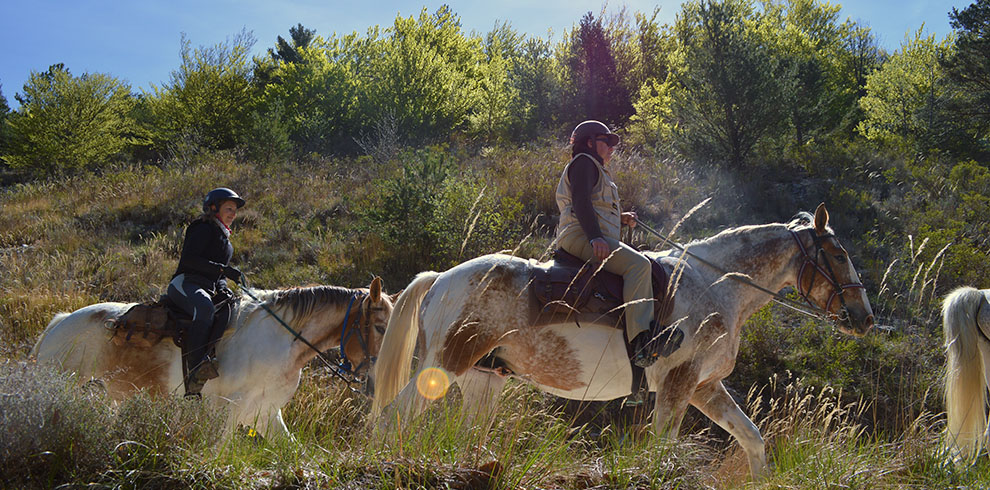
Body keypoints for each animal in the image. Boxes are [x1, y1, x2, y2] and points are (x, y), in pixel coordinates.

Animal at [32, 278, 396, 438]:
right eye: (379, 326)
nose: (375, 384)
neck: (281, 341)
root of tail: (58, 323)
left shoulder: (266, 413)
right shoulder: (227, 411)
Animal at [374, 205, 876, 476]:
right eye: (838, 254)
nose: (865, 318)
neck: (715, 286)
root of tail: (441, 278)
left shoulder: (705, 388)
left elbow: (752, 439)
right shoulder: (677, 383)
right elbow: (661, 447)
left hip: (484, 379)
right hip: (444, 364)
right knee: (393, 418)